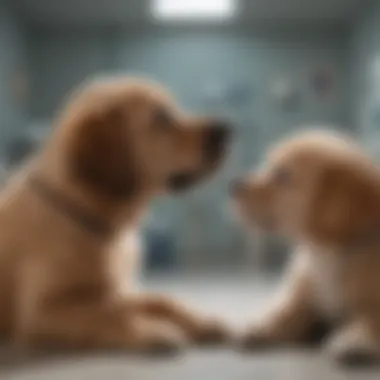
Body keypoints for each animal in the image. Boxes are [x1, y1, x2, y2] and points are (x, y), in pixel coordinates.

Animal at [0, 76, 232, 354]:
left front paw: (202, 323)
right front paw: (150, 330)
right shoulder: (40, 313)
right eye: (162, 118)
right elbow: (110, 314)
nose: (226, 130)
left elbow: (162, 300)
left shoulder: (121, 290)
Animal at [232, 131, 380, 366]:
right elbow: (284, 312)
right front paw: (259, 326)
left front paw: (357, 340)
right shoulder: (302, 297)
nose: (234, 185)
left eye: (282, 175)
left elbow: (372, 318)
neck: (327, 253)